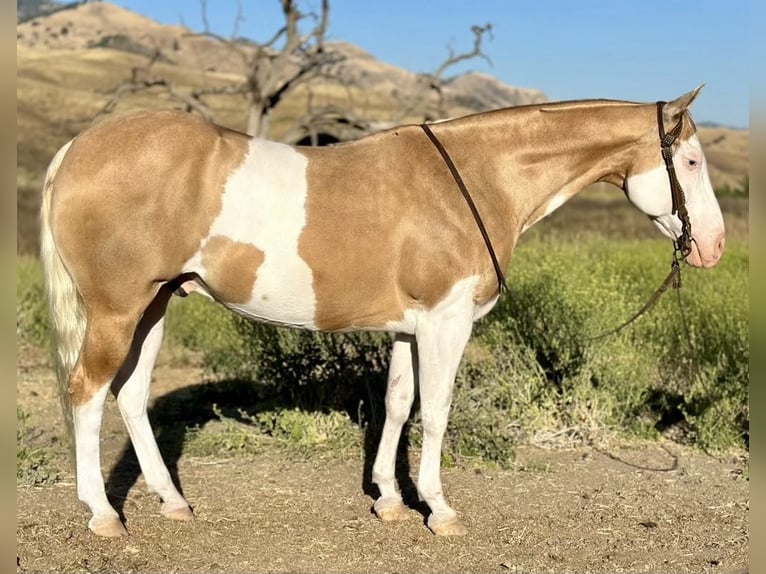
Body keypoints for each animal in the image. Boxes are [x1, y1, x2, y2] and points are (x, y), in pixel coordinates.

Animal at [40, 86, 725, 538]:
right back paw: (103, 515)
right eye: (691, 161)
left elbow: (397, 405)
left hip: (155, 303)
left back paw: (171, 502)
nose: (712, 247)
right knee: (86, 392)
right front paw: (439, 510)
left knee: (129, 396)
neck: (474, 178)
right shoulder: (447, 321)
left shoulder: (408, 328)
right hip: (118, 308)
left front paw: (391, 501)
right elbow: (437, 411)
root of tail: (75, 148)